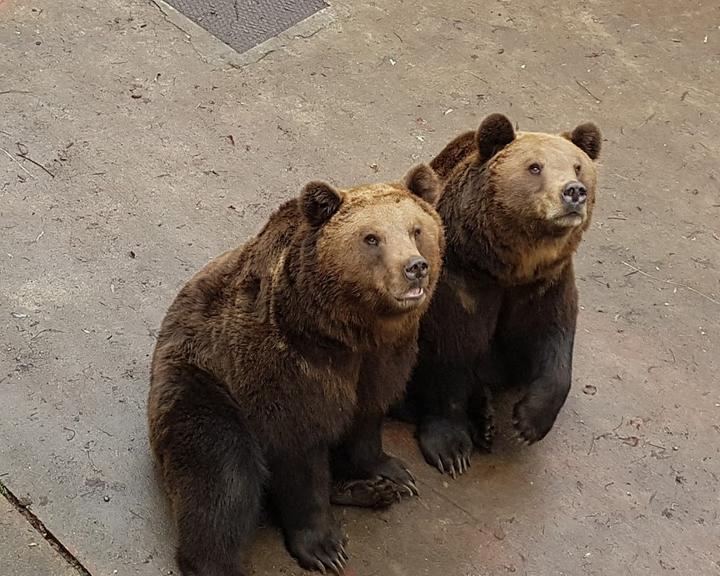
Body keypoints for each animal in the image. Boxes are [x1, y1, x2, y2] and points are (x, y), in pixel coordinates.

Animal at [148, 164, 444, 572]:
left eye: (416, 230)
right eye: (372, 238)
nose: (415, 268)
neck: (350, 332)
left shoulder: (384, 358)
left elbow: (368, 416)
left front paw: (392, 472)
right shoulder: (287, 366)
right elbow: (298, 453)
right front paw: (324, 548)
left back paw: (373, 491)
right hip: (200, 384)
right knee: (222, 474)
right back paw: (217, 562)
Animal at [400, 112, 600, 476]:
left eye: (578, 166)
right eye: (535, 167)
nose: (574, 192)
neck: (506, 269)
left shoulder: (544, 287)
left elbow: (553, 342)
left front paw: (528, 422)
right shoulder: (461, 286)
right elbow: (448, 354)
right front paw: (451, 449)